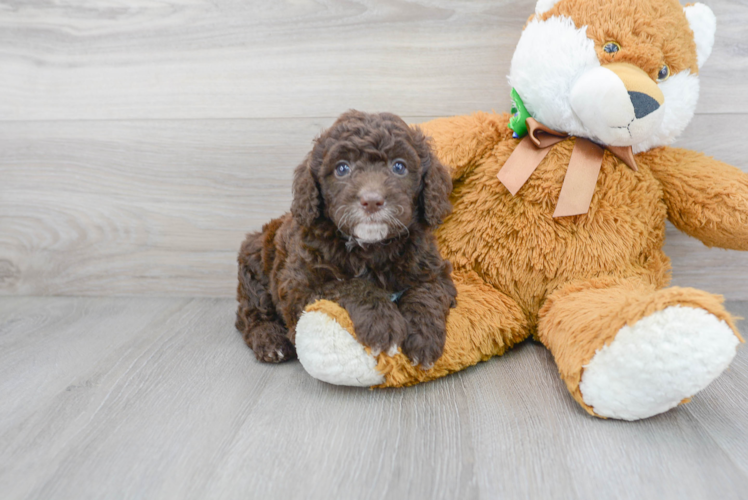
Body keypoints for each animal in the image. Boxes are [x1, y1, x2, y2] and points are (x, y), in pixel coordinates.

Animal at [237, 110, 456, 368]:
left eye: (399, 166)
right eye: (342, 168)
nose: (371, 201)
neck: (371, 248)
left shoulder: (435, 270)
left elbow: (427, 292)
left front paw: (423, 337)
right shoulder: (298, 287)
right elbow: (348, 285)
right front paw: (381, 323)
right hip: (254, 269)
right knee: (250, 315)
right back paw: (270, 341)